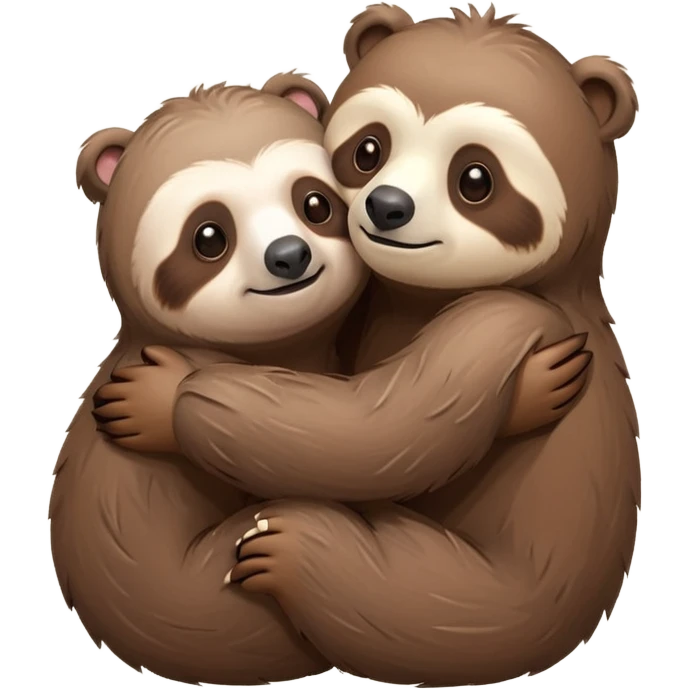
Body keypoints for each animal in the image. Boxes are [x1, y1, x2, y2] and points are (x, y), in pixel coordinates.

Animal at [94, 4, 642, 687]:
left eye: (477, 178)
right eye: (369, 149)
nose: (387, 204)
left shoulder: (502, 319)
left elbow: (376, 431)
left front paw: (164, 399)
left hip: (479, 604)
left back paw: (292, 548)